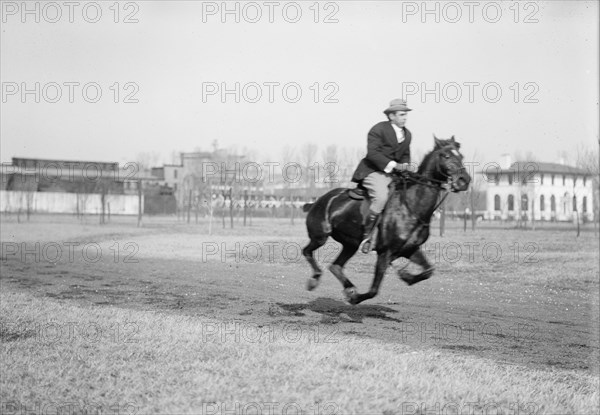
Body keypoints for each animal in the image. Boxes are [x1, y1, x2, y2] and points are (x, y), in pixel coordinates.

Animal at [302, 136, 472, 306]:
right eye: (446, 156)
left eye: (461, 156)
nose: (464, 180)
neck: (411, 206)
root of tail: (320, 200)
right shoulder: (385, 253)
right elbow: (374, 290)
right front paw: (356, 298)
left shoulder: (410, 249)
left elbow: (428, 271)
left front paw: (406, 276)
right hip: (320, 237)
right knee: (307, 252)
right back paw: (315, 279)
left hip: (350, 244)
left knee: (335, 266)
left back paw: (349, 288)